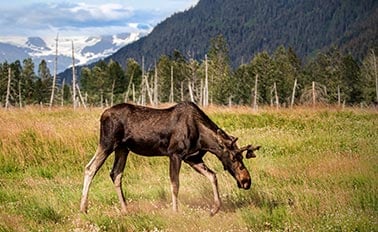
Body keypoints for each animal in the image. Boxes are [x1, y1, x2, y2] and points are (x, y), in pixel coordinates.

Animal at [80, 101, 260, 216]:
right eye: (234, 157)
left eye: (242, 157)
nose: (246, 181)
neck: (203, 140)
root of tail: (102, 115)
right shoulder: (175, 154)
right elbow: (175, 184)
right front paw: (175, 211)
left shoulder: (192, 158)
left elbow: (213, 176)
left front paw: (214, 209)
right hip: (108, 142)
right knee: (90, 168)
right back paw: (83, 209)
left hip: (123, 149)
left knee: (116, 173)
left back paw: (125, 210)